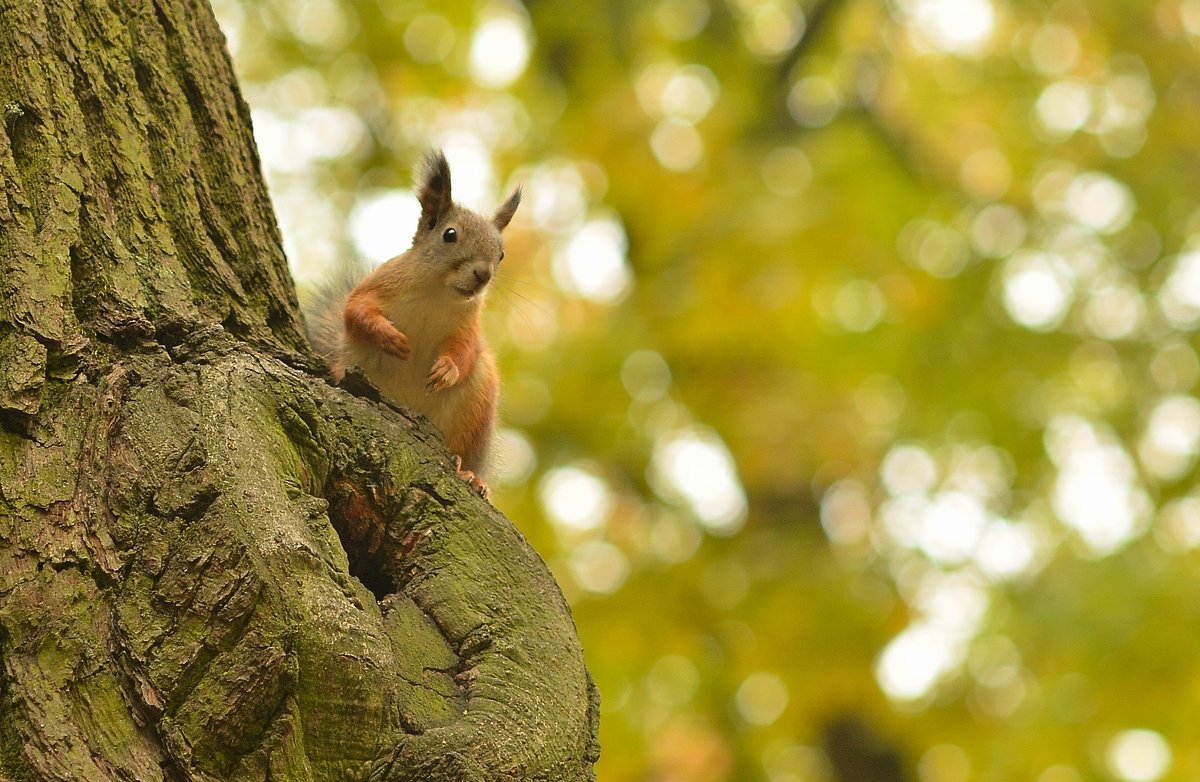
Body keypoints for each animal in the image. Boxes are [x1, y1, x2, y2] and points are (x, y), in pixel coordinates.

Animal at [304, 149, 520, 498]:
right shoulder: (375, 287)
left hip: (475, 408)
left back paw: (470, 474)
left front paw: (447, 370)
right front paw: (391, 338)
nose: (483, 275)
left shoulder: (468, 328)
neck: (437, 293)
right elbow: (355, 312)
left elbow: (465, 351)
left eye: (501, 254)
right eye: (450, 234)